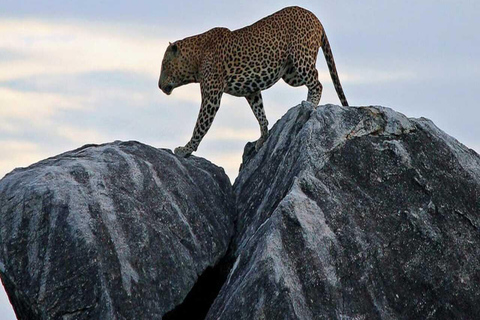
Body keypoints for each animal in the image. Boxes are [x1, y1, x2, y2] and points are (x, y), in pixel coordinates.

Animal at [158, 5, 348, 158]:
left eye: (164, 65)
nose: (159, 86)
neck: (195, 57)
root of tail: (314, 16)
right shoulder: (251, 91)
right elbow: (260, 113)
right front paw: (263, 137)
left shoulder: (211, 97)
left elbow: (200, 124)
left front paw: (186, 149)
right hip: (290, 74)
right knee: (314, 77)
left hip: (301, 57)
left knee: (317, 83)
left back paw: (310, 105)